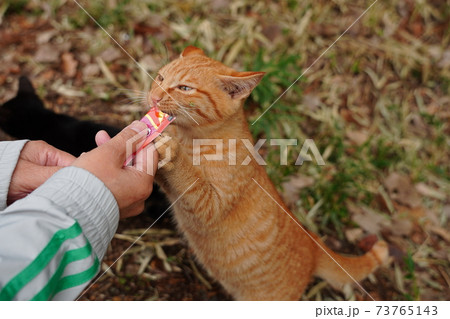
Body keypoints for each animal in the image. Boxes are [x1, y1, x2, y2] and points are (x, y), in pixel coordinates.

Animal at [150, 46, 386, 302]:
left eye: (184, 88)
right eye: (160, 78)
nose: (153, 97)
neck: (190, 138)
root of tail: (313, 243)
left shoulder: (209, 206)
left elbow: (189, 180)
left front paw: (171, 150)